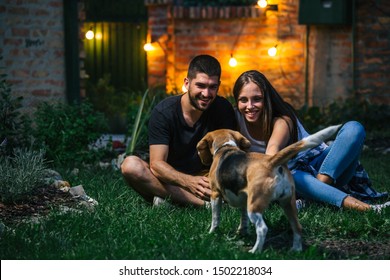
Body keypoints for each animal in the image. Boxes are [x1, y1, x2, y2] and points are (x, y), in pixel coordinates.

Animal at [197, 126, 340, 253]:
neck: (226, 147)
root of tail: (271, 161)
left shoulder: (215, 194)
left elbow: (215, 218)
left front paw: (211, 233)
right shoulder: (244, 200)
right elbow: (243, 219)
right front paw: (242, 232)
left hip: (255, 206)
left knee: (262, 228)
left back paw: (254, 251)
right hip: (288, 203)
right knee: (297, 227)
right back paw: (296, 250)